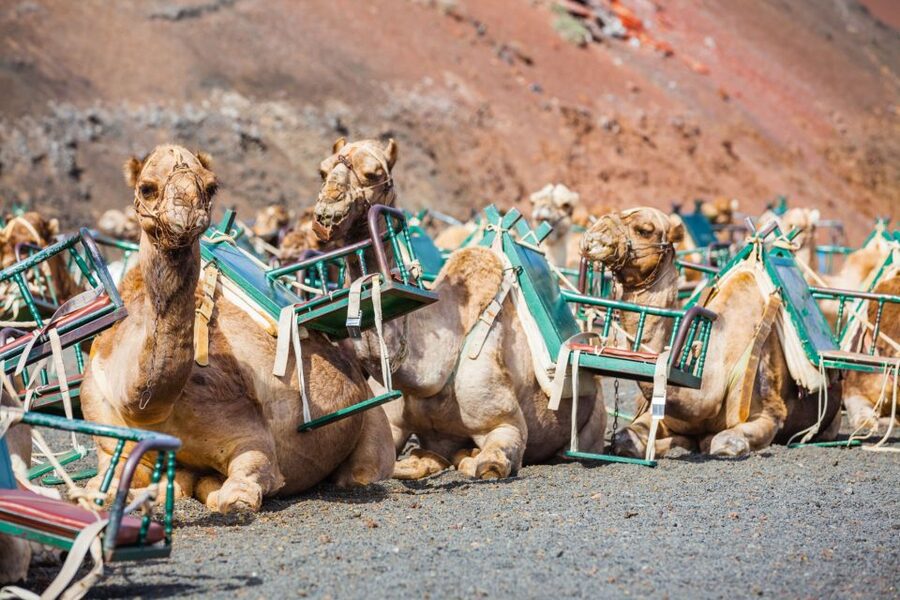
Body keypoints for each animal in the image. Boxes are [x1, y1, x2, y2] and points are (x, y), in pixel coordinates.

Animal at [80, 144, 394, 514]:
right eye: (147, 187)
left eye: (211, 186)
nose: (186, 214)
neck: (144, 406)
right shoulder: (108, 435)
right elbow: (102, 485)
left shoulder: (244, 427)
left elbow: (246, 483)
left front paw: (229, 497)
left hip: (373, 421)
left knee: (362, 470)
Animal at [312, 137, 607, 479]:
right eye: (323, 170)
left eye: (374, 173)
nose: (326, 214)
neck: (433, 373)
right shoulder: (395, 424)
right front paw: (423, 460)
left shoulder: (505, 424)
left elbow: (488, 464)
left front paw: (464, 456)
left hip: (592, 423)